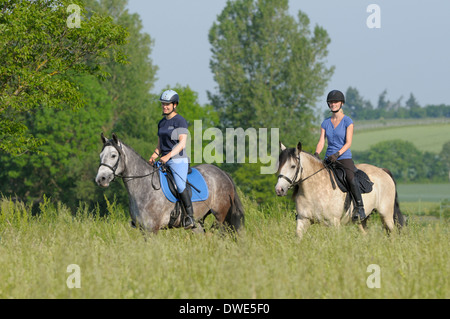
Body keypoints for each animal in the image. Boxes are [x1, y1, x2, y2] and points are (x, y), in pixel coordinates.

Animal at [93, 133, 244, 235]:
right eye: (100, 156)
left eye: (113, 155)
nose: (101, 179)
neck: (144, 188)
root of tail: (222, 173)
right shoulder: (143, 230)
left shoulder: (152, 229)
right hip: (199, 222)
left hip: (221, 217)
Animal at [276, 141, 406, 239]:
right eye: (279, 165)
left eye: (293, 166)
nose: (279, 189)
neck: (314, 189)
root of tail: (383, 170)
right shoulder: (303, 220)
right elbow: (298, 238)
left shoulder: (333, 222)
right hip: (362, 220)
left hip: (386, 215)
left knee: (392, 233)